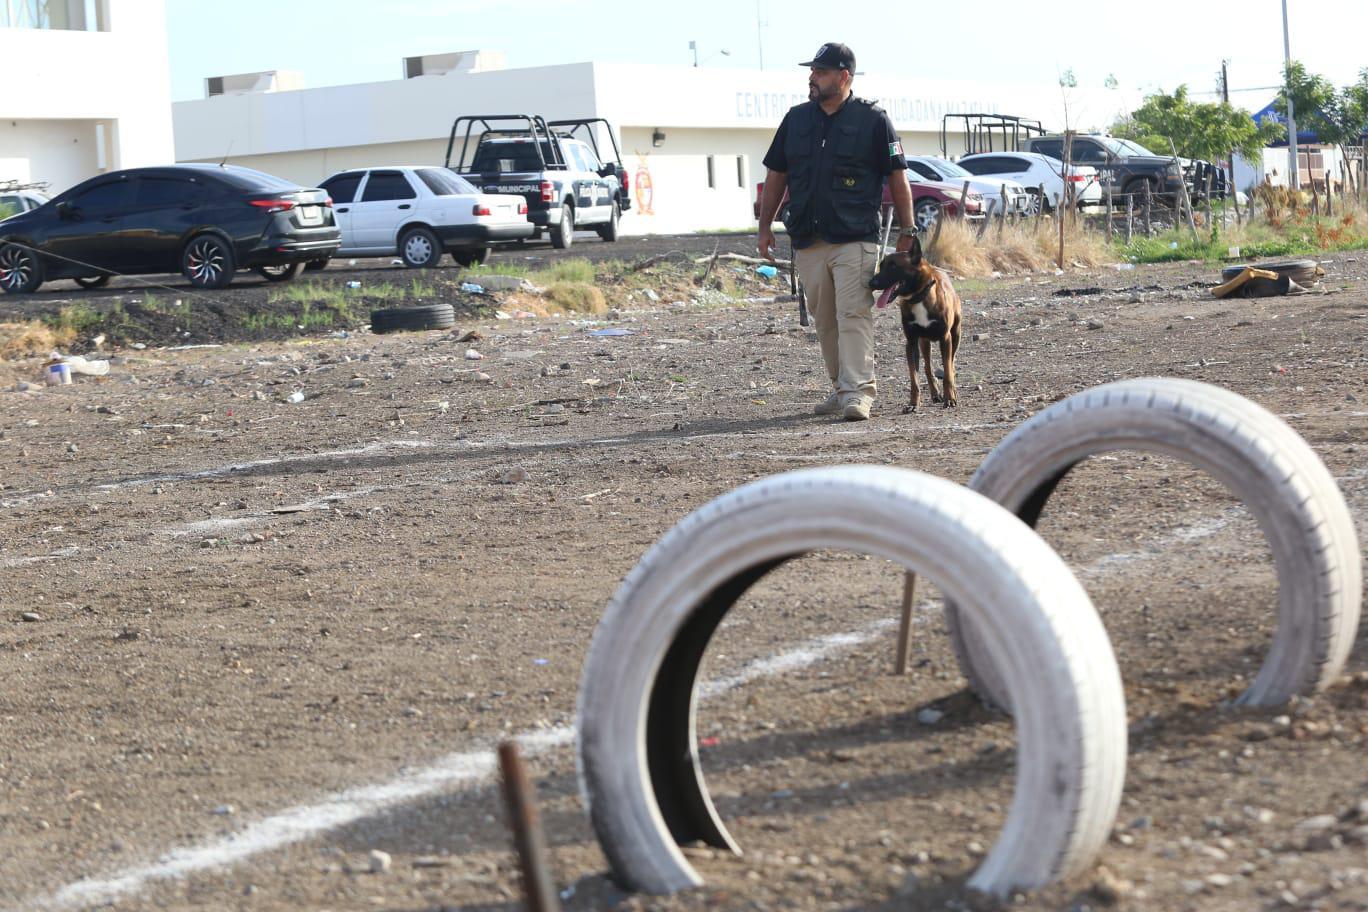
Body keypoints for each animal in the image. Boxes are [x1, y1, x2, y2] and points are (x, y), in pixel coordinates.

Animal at [875, 240, 963, 415]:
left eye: (893, 266)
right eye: (881, 266)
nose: (871, 282)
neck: (918, 297)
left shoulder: (945, 339)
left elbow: (948, 372)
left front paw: (950, 398)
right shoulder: (911, 343)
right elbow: (914, 379)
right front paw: (913, 403)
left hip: (955, 335)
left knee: (951, 365)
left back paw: (951, 391)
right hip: (924, 343)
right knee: (928, 367)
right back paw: (935, 394)